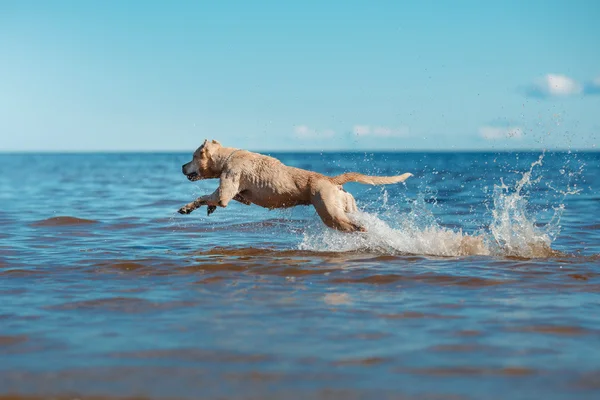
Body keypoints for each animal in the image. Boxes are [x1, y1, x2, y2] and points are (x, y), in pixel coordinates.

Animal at [178, 141, 412, 233]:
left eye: (193, 156)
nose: (181, 166)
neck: (227, 157)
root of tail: (331, 180)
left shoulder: (226, 190)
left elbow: (204, 196)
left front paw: (187, 207)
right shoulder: (237, 195)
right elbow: (213, 198)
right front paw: (206, 207)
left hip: (331, 214)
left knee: (356, 227)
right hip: (346, 206)